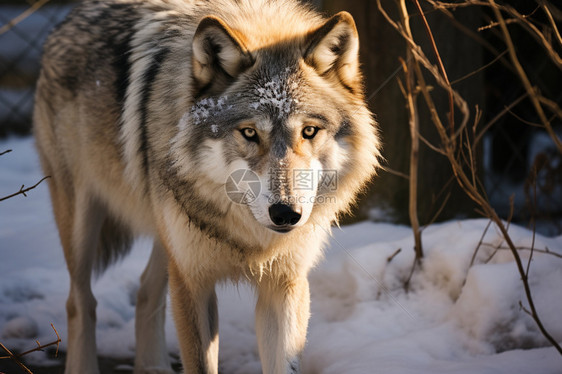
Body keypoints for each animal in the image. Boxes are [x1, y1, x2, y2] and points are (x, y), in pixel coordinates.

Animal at [32, 0, 378, 372]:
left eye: (309, 131)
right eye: (249, 133)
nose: (286, 213)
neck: (247, 237)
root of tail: (68, 18)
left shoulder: (284, 284)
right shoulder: (192, 282)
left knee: (145, 292)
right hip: (84, 224)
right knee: (80, 302)